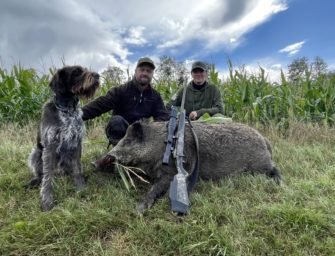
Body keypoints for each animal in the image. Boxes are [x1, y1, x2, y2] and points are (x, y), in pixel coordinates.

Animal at [25, 65, 99, 211]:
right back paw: (35, 181)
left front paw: (81, 188)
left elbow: (77, 169)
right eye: (76, 72)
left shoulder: (77, 143)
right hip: (36, 152)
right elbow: (47, 176)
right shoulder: (50, 145)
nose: (97, 76)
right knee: (41, 174)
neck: (67, 110)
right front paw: (47, 201)